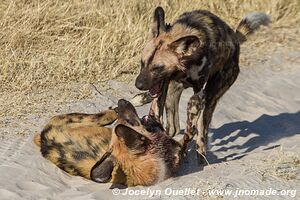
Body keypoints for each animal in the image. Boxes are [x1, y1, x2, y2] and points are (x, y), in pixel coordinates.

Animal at [133, 7, 270, 162]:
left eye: (158, 68)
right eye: (142, 63)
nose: (138, 84)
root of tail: (235, 39)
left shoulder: (198, 94)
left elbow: (191, 131)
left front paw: (180, 150)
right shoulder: (163, 86)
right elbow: (156, 114)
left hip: (210, 97)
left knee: (201, 126)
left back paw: (201, 154)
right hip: (172, 92)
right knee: (174, 127)